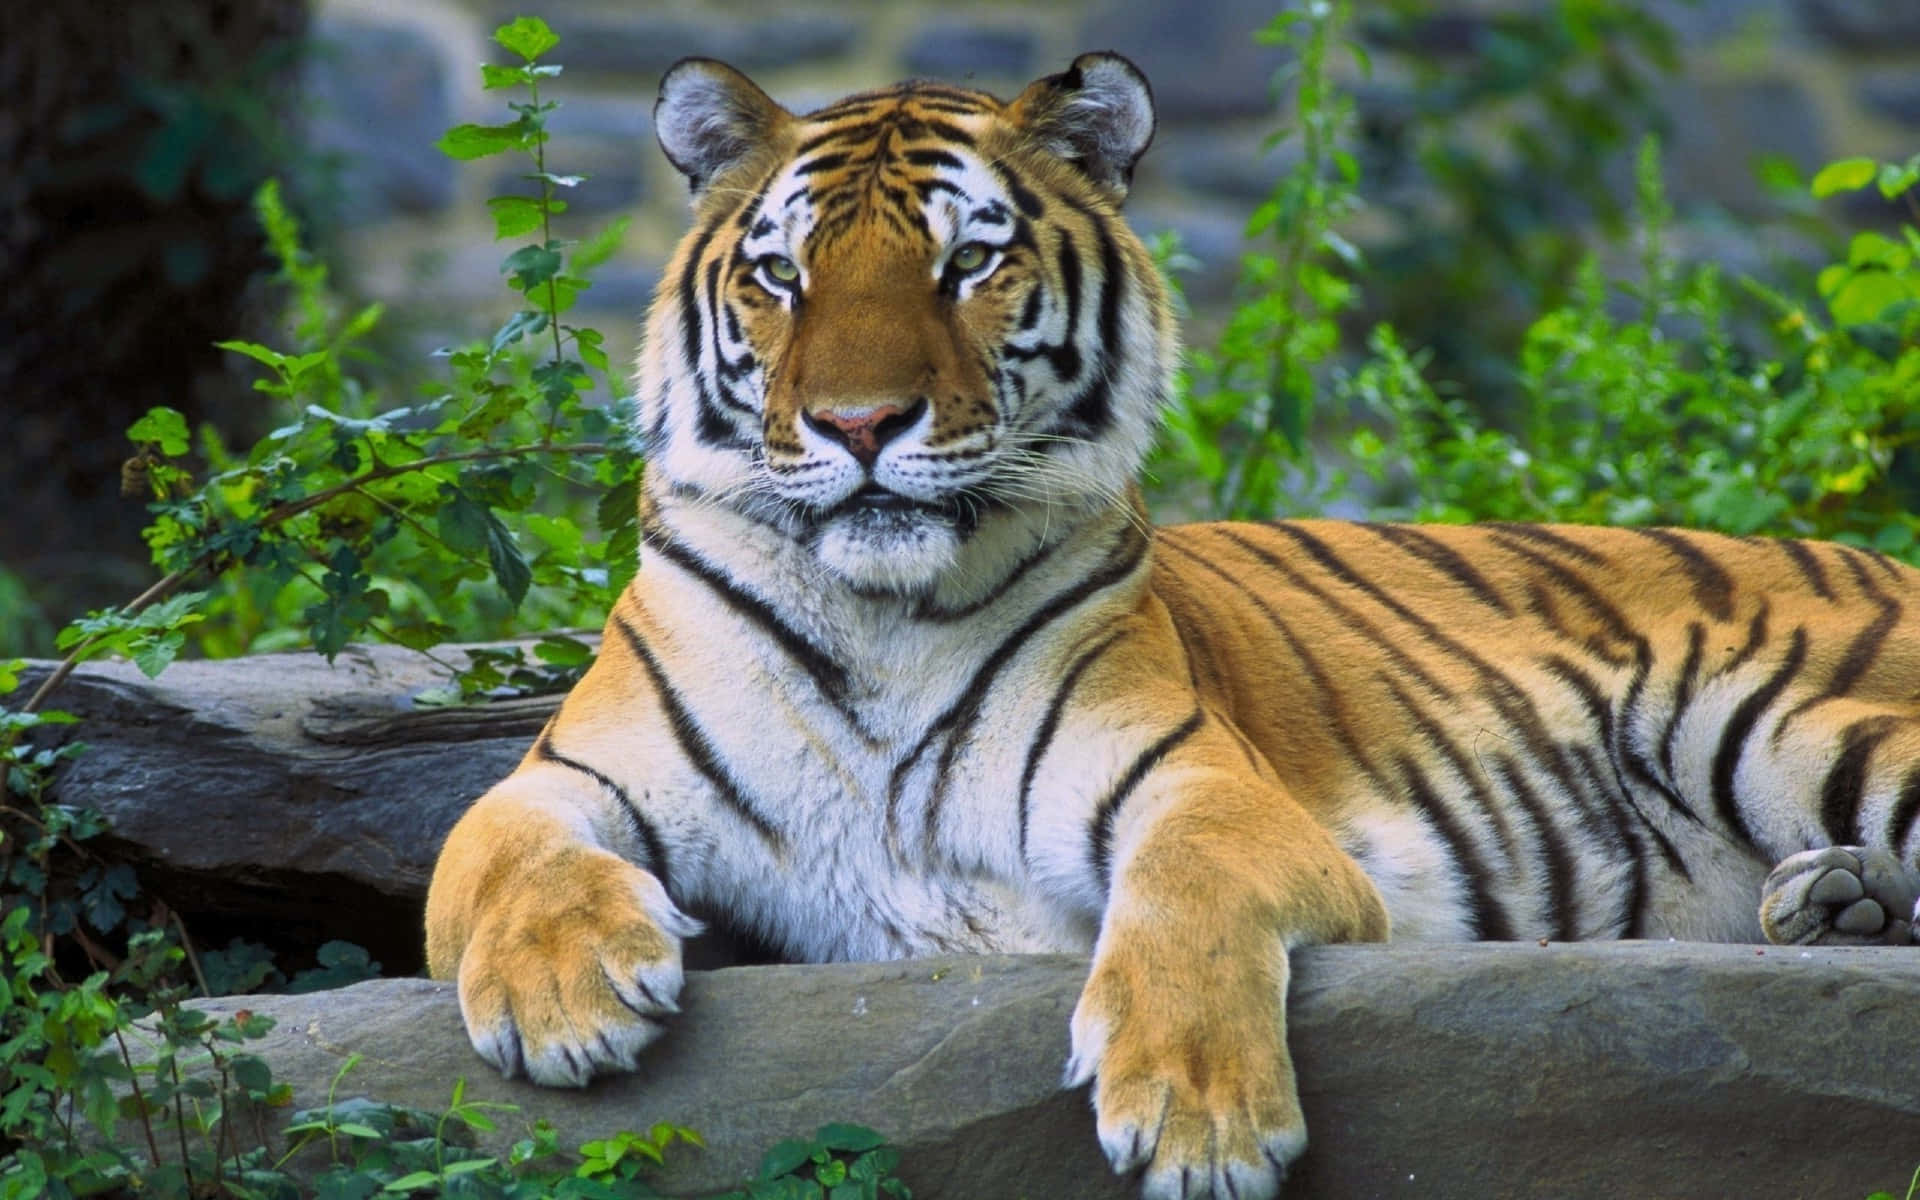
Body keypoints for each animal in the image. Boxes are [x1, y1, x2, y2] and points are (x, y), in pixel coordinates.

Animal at [424, 52, 1920, 1200]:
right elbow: (491, 852)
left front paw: (1200, 1121)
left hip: (1753, 710)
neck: (880, 617)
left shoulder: (1202, 784)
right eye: (784, 277)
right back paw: (1832, 902)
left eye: (969, 263)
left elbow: (1185, 892)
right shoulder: (571, 772)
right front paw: (563, 1001)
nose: (858, 424)